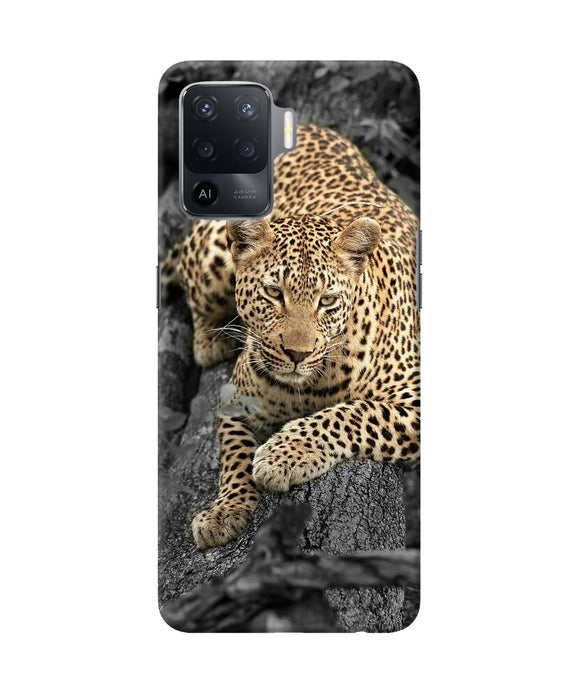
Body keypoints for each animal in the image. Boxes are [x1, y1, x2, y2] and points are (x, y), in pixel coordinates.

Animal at [162, 123, 420, 550]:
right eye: (273, 293)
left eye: (326, 300)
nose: (297, 354)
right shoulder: (235, 400)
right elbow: (234, 455)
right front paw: (224, 511)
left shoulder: (414, 399)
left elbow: (352, 413)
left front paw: (282, 455)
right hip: (212, 253)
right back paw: (211, 340)